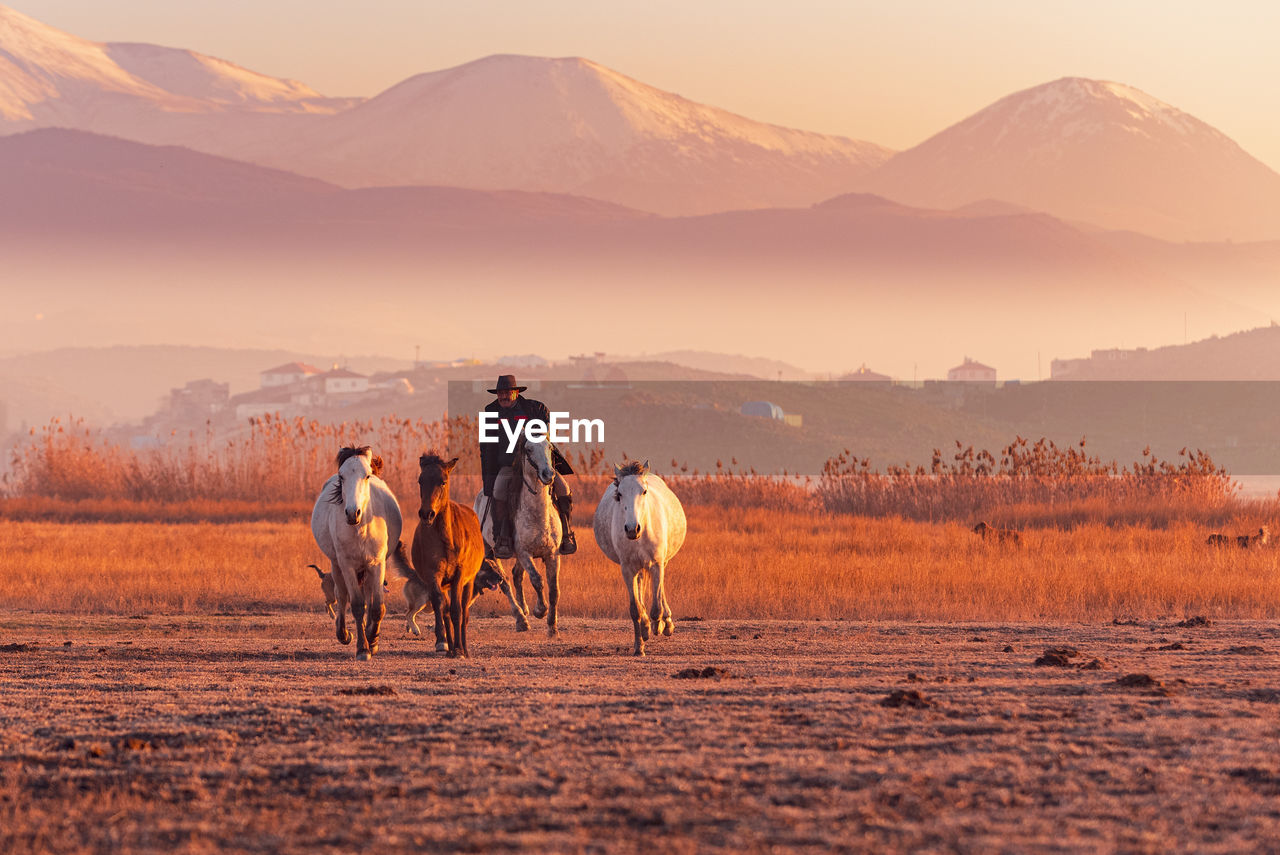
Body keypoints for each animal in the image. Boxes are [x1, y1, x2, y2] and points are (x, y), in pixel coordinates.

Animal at [309, 447, 409, 660]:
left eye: (367, 475)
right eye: (342, 476)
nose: (352, 513)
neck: (361, 529)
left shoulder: (377, 563)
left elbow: (377, 606)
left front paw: (373, 640)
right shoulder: (347, 565)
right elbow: (356, 604)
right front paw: (362, 648)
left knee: (368, 596)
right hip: (337, 565)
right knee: (341, 595)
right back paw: (343, 633)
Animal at [409, 453, 483, 660]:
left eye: (443, 481)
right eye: (420, 480)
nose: (427, 513)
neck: (446, 540)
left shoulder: (459, 575)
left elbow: (458, 611)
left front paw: (459, 650)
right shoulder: (434, 576)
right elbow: (442, 608)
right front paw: (444, 645)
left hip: (468, 582)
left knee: (464, 612)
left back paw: (463, 648)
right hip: (445, 584)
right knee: (447, 609)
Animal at [476, 435, 560, 634]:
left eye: (550, 447)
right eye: (528, 449)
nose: (548, 474)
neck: (538, 516)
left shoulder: (552, 554)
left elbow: (554, 589)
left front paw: (552, 625)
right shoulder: (524, 553)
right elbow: (537, 580)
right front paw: (540, 610)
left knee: (516, 575)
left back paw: (524, 609)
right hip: (490, 552)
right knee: (504, 581)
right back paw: (521, 619)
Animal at [591, 460, 686, 655]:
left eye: (644, 491)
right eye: (619, 494)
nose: (632, 529)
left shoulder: (657, 564)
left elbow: (656, 606)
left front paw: (658, 625)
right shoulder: (627, 569)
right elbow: (635, 609)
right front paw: (639, 644)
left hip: (660, 563)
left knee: (660, 590)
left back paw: (665, 624)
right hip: (638, 567)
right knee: (641, 585)